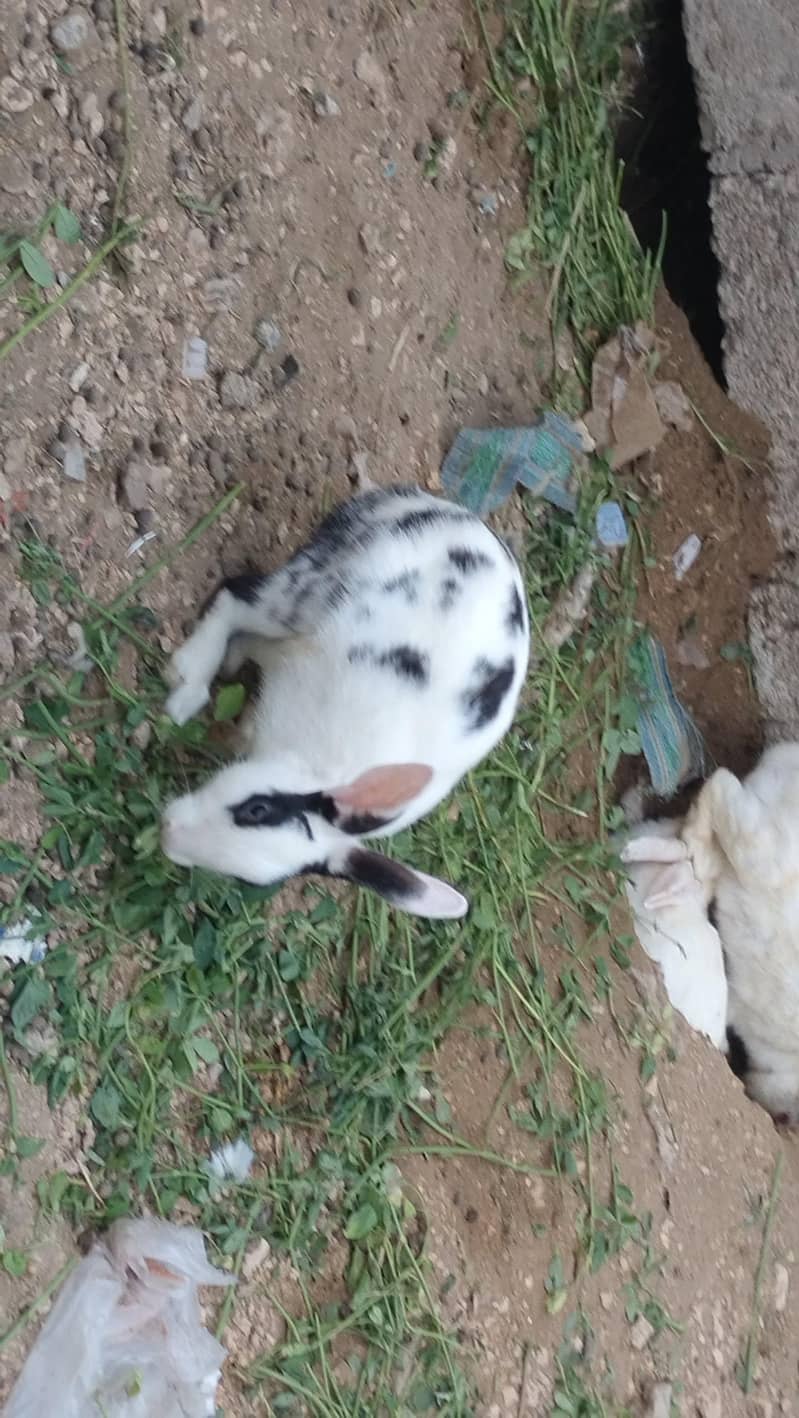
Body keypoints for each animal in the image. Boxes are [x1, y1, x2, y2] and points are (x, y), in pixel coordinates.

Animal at [161, 485, 530, 918]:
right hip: (305, 592)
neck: (311, 769)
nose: (168, 833)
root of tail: (439, 509)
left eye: (250, 881)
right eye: (257, 809)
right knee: (237, 595)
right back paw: (187, 688)